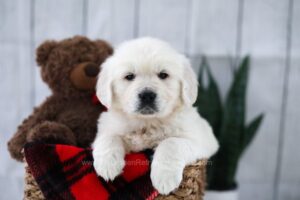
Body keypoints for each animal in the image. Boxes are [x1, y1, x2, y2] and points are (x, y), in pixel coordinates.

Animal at [93, 37, 218, 194]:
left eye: (163, 75)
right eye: (129, 76)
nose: (147, 95)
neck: (148, 122)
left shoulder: (201, 140)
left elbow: (171, 142)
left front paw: (164, 178)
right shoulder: (109, 126)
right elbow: (108, 137)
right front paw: (107, 165)